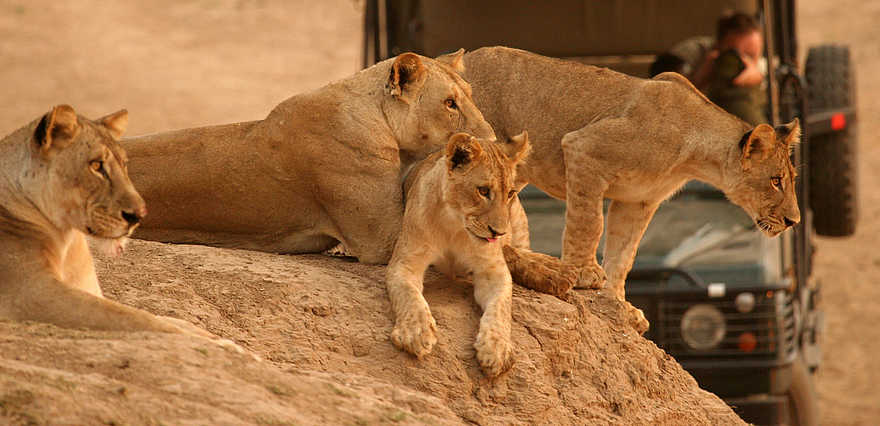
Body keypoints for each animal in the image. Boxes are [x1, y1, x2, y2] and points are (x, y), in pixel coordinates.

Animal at [0, 105, 239, 346]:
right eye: (96, 165)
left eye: (124, 165)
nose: (138, 215)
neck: (67, 240)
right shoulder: (31, 293)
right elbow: (133, 317)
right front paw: (225, 346)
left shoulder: (85, 289)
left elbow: (159, 316)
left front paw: (215, 338)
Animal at [385, 131, 530, 377]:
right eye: (483, 191)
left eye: (510, 193)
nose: (499, 233)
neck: (454, 224)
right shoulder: (405, 262)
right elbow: (408, 294)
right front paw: (416, 332)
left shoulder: (494, 271)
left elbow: (501, 308)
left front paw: (497, 350)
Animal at [463, 47, 801, 332]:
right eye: (776, 180)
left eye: (791, 178)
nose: (793, 221)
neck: (694, 155)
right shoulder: (583, 148)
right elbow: (589, 223)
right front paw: (584, 273)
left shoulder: (638, 199)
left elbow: (624, 253)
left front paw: (619, 306)